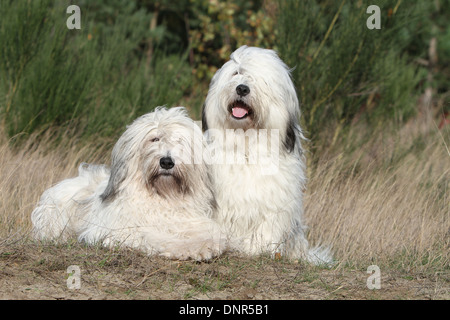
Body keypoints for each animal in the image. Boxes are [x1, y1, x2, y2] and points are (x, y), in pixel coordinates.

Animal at [31, 106, 227, 262]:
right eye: (154, 139)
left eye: (179, 141)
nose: (166, 162)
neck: (163, 196)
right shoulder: (120, 230)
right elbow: (154, 236)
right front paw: (183, 247)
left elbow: (209, 233)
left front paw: (204, 244)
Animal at [202, 45, 332, 264]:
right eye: (237, 73)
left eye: (263, 80)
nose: (242, 88)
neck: (246, 145)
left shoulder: (273, 202)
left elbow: (266, 227)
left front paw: (256, 249)